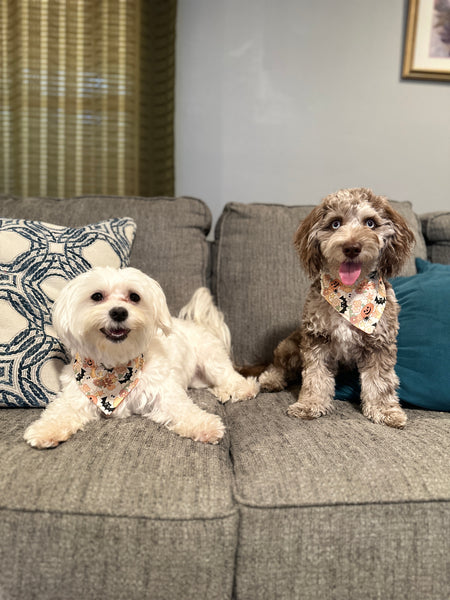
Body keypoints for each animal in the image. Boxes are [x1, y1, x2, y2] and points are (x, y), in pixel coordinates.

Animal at [24, 266, 258, 446]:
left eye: (134, 297)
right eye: (97, 296)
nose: (119, 312)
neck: (114, 366)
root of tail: (201, 325)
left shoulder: (164, 391)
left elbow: (183, 409)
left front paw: (205, 425)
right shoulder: (75, 394)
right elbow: (59, 411)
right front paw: (44, 430)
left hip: (210, 359)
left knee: (231, 376)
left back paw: (240, 389)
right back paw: (222, 392)